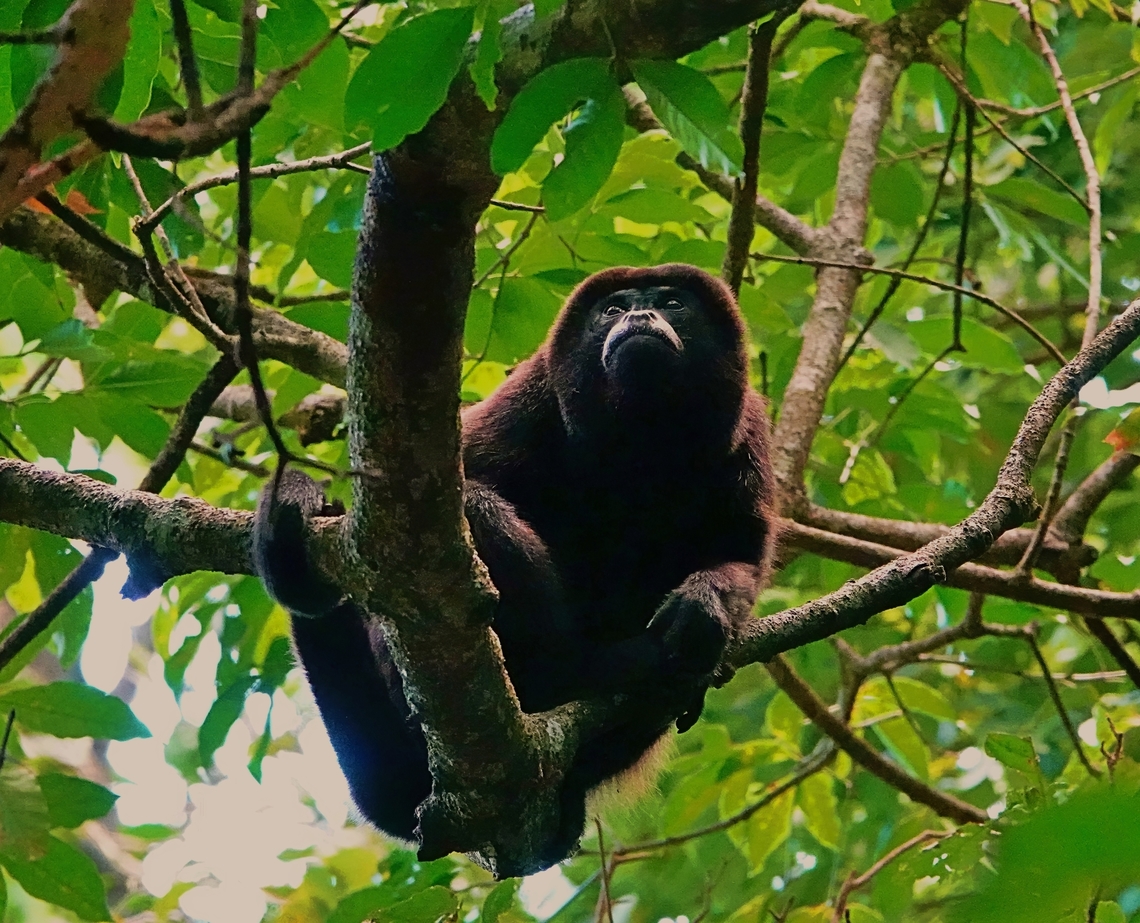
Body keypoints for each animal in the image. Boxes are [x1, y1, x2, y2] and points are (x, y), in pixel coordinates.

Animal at [254, 263, 776, 875]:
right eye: (613, 309)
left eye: (672, 303)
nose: (640, 315)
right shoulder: (528, 398)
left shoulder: (749, 429)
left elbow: (742, 553)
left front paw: (702, 606)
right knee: (473, 511)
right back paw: (577, 671)